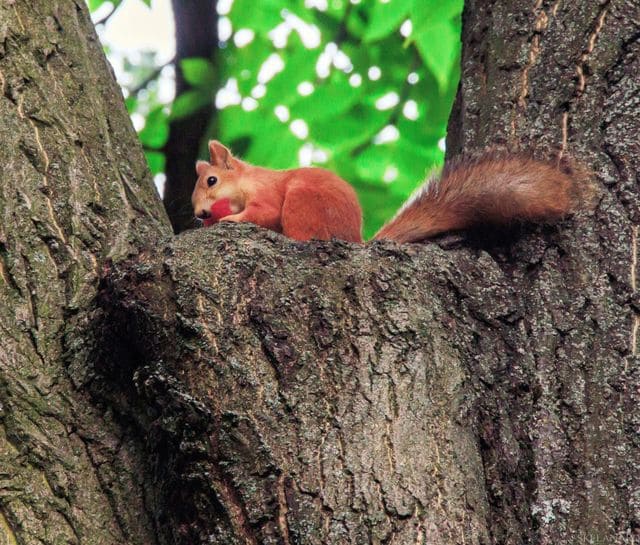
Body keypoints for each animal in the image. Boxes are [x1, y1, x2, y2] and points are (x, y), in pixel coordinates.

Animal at [192, 140, 584, 244]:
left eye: (211, 181)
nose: (199, 215)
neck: (245, 181)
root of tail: (355, 240)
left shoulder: (268, 195)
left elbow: (264, 212)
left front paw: (231, 220)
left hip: (302, 203)